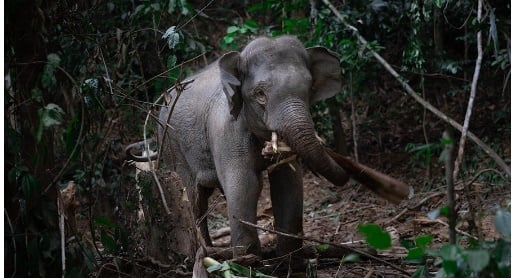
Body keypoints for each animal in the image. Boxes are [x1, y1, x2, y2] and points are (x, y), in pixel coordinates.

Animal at [158, 35, 350, 258]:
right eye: (260, 94)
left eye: (310, 88)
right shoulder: (226, 131)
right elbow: (246, 183)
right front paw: (248, 259)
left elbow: (287, 182)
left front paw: (289, 256)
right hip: (171, 145)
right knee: (195, 199)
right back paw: (205, 252)